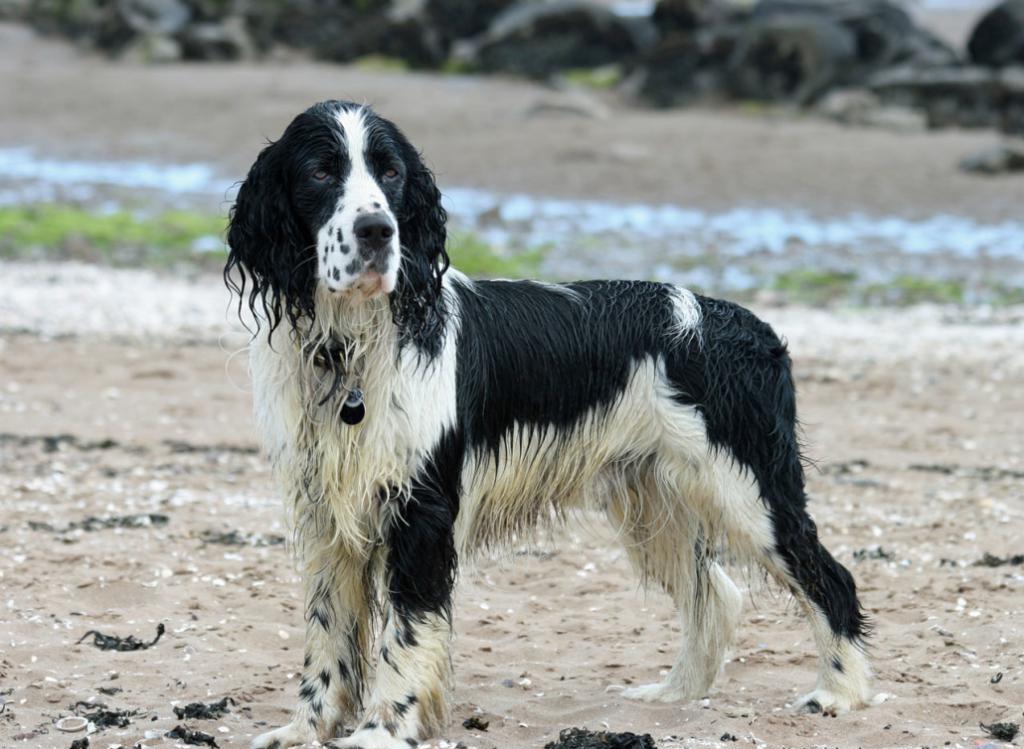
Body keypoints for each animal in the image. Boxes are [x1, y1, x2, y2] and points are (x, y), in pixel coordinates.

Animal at [226, 100, 872, 749]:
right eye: (319, 172)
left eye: (391, 173)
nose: (378, 231)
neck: (351, 345)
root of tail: (751, 327)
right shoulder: (326, 516)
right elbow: (327, 633)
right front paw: (304, 728)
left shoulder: (422, 512)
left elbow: (403, 635)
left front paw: (381, 730)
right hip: (652, 502)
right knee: (715, 596)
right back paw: (673, 696)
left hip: (745, 489)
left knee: (829, 578)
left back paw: (838, 694)